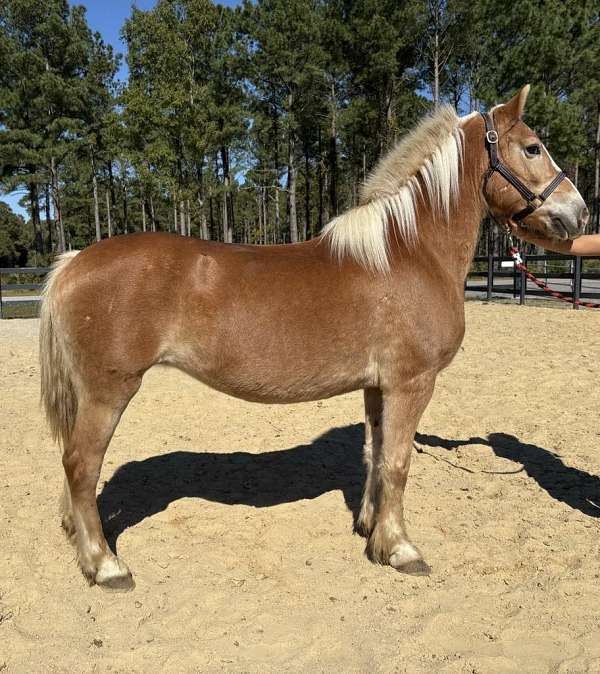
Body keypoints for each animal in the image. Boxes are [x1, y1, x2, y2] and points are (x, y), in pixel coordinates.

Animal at [39, 85, 588, 588]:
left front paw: (371, 531)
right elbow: (398, 463)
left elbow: (374, 455)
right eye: (533, 147)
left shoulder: (377, 386)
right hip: (109, 390)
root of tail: (74, 262)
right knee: (81, 465)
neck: (410, 253)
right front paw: (401, 549)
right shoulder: (412, 382)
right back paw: (106, 565)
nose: (579, 213)